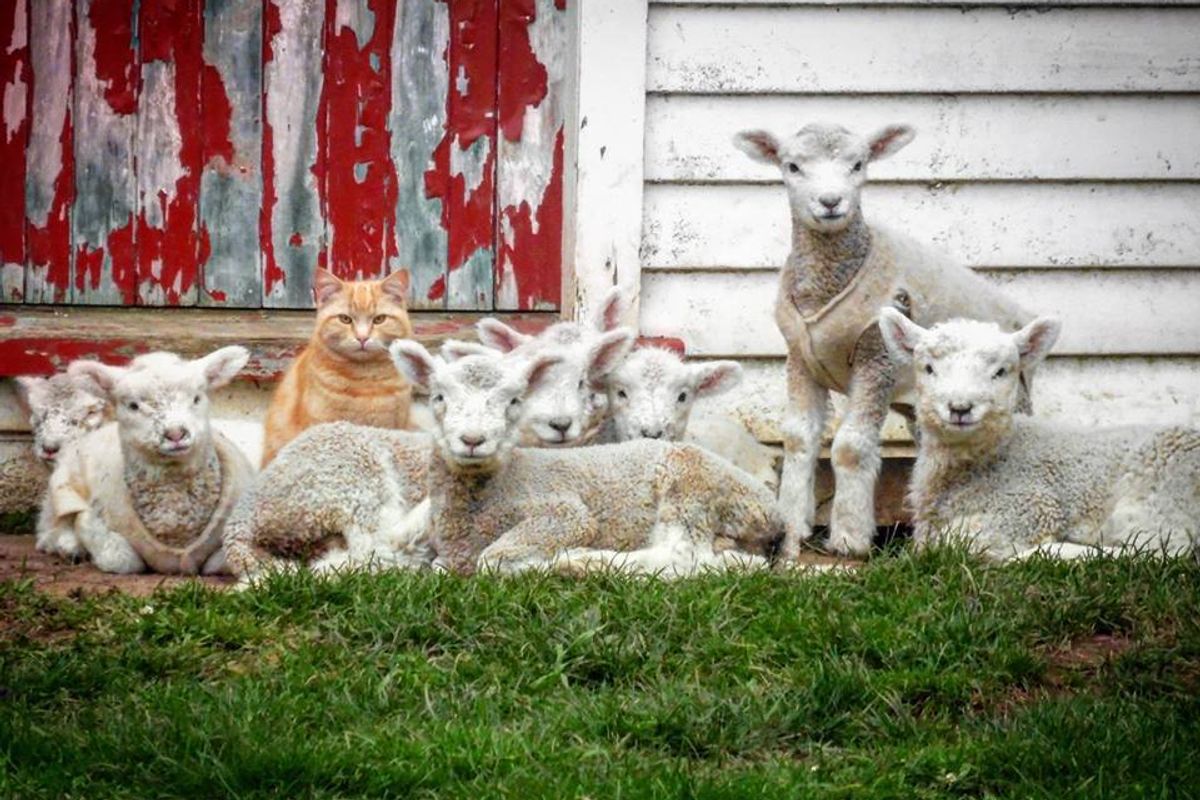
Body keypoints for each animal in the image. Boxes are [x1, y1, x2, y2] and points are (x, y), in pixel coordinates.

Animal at [37, 347, 255, 574]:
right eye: (133, 406)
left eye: (196, 398)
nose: (175, 433)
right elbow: (119, 557)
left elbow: (221, 561)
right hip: (62, 489)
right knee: (48, 529)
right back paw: (70, 546)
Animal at [734, 122, 1033, 558]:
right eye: (792, 166)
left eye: (858, 164)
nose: (830, 202)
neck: (828, 280)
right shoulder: (800, 358)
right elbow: (798, 440)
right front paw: (792, 527)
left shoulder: (877, 359)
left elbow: (850, 446)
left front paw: (849, 538)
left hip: (1013, 395)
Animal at [878, 309, 1199, 561]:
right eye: (928, 368)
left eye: (1000, 372)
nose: (960, 408)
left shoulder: (1031, 505)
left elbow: (956, 541)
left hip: (1161, 486)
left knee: (1162, 551)